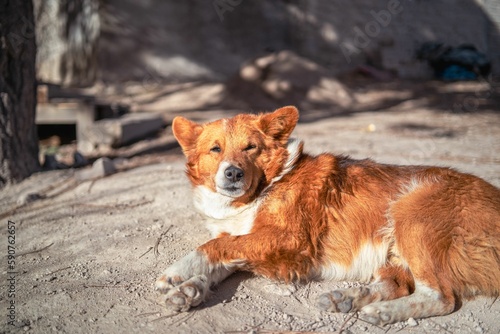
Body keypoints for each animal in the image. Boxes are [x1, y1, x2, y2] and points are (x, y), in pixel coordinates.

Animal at [157, 106, 500, 324]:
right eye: (215, 149)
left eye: (250, 147)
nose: (233, 173)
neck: (267, 185)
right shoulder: (254, 241)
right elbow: (224, 258)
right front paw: (191, 288)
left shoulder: (289, 241)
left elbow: (214, 247)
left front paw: (177, 272)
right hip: (394, 250)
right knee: (399, 285)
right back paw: (349, 298)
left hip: (411, 217)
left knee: (441, 296)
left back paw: (382, 313)